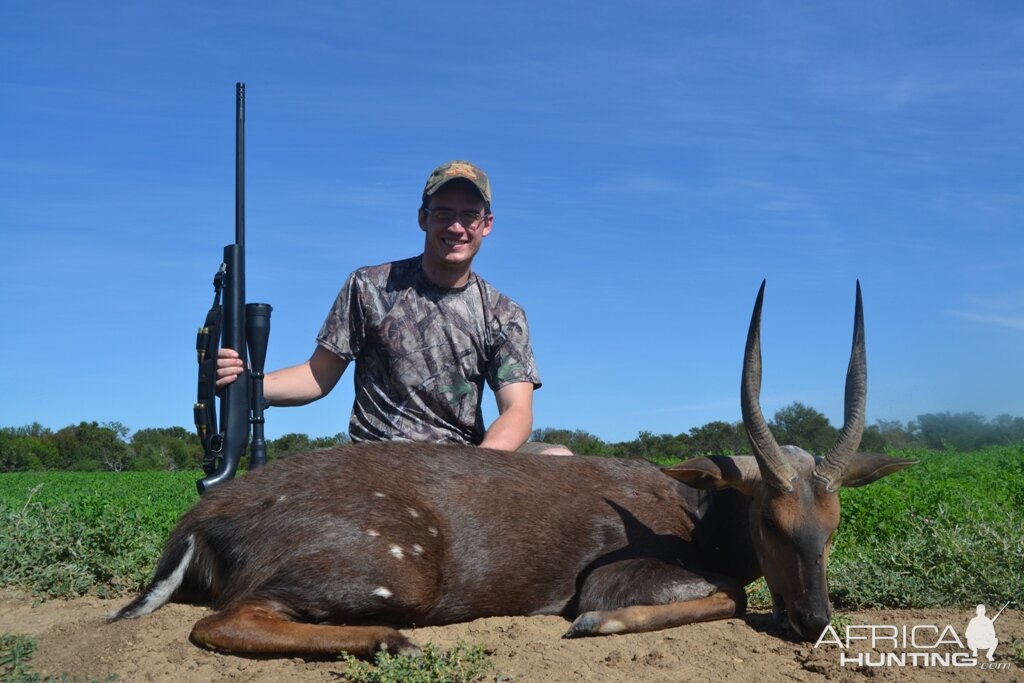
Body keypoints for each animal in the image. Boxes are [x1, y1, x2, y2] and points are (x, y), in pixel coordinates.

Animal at [112, 282, 913, 655]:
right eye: (771, 521)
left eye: (834, 524)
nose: (814, 620)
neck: (694, 514)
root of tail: (197, 520)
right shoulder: (614, 574)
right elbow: (732, 596)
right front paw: (594, 623)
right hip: (396, 572)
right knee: (219, 620)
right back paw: (388, 640)